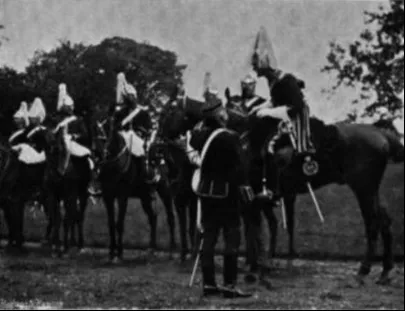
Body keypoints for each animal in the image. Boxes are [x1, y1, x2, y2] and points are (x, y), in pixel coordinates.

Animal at [92, 116, 176, 262]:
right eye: (95, 132)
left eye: (108, 132)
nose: (97, 154)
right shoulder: (108, 197)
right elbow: (111, 224)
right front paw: (111, 252)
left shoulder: (122, 196)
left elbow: (119, 223)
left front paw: (119, 253)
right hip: (145, 197)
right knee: (153, 217)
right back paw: (152, 248)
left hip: (165, 191)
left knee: (170, 217)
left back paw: (172, 250)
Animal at [226, 89, 402, 286]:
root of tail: (381, 134)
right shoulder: (265, 199)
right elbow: (270, 228)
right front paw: (264, 264)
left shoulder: (258, 198)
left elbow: (263, 229)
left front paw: (261, 267)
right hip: (371, 190)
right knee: (384, 221)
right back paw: (385, 272)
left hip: (363, 189)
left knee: (372, 223)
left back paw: (363, 271)